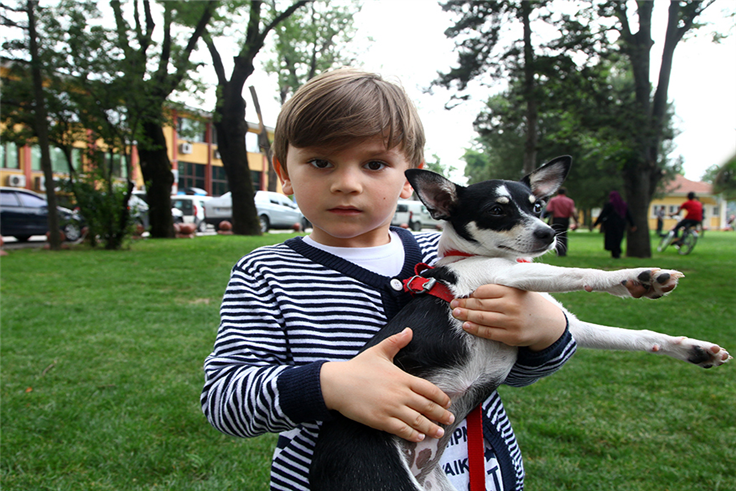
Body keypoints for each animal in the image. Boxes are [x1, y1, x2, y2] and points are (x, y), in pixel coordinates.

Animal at [310, 157, 732, 491]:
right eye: (497, 211)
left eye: (538, 206)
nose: (550, 233)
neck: (470, 258)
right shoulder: (506, 277)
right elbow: (583, 273)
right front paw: (636, 276)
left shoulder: (569, 323)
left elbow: (635, 336)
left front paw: (691, 347)